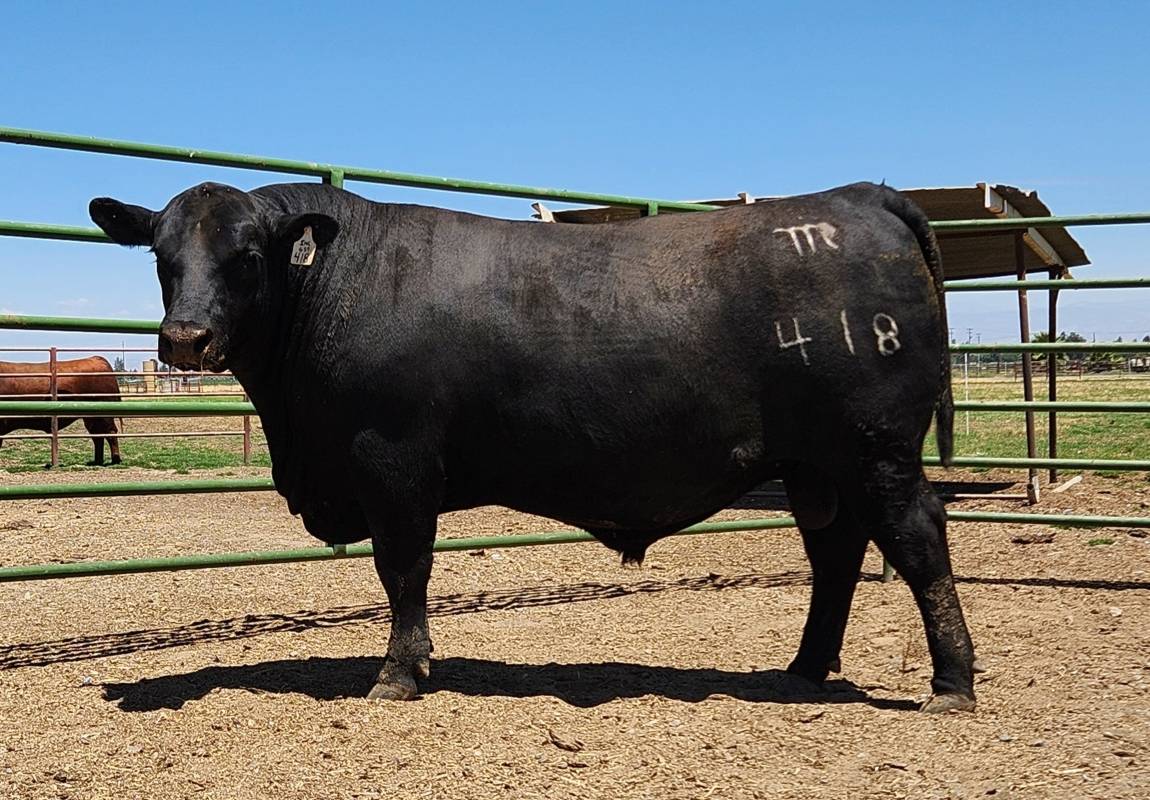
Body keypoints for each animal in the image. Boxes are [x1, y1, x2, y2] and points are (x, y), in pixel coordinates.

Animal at [89, 180, 976, 712]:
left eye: (246, 255)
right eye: (162, 257)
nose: (186, 337)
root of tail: (860, 196)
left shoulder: (393, 461)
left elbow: (402, 570)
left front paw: (399, 675)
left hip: (877, 449)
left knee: (917, 539)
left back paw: (951, 682)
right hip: (817, 465)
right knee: (836, 552)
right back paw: (804, 667)